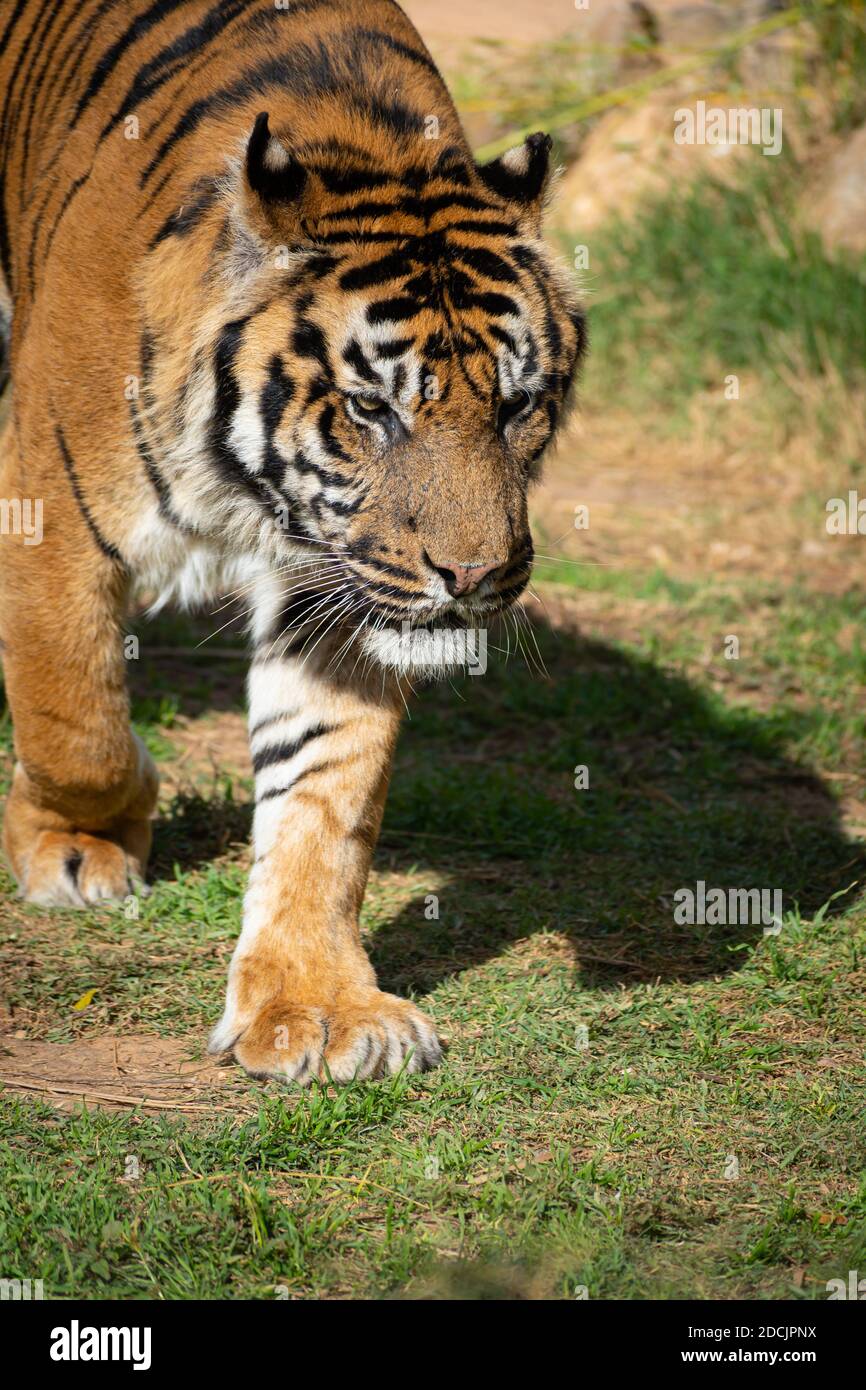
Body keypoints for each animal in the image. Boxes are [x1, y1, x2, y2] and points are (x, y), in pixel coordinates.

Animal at [0, 0, 585, 1083]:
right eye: (370, 408)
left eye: (518, 403)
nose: (475, 575)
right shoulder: (50, 511)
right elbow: (76, 716)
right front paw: (82, 843)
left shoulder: (338, 585)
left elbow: (324, 791)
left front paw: (312, 1006)